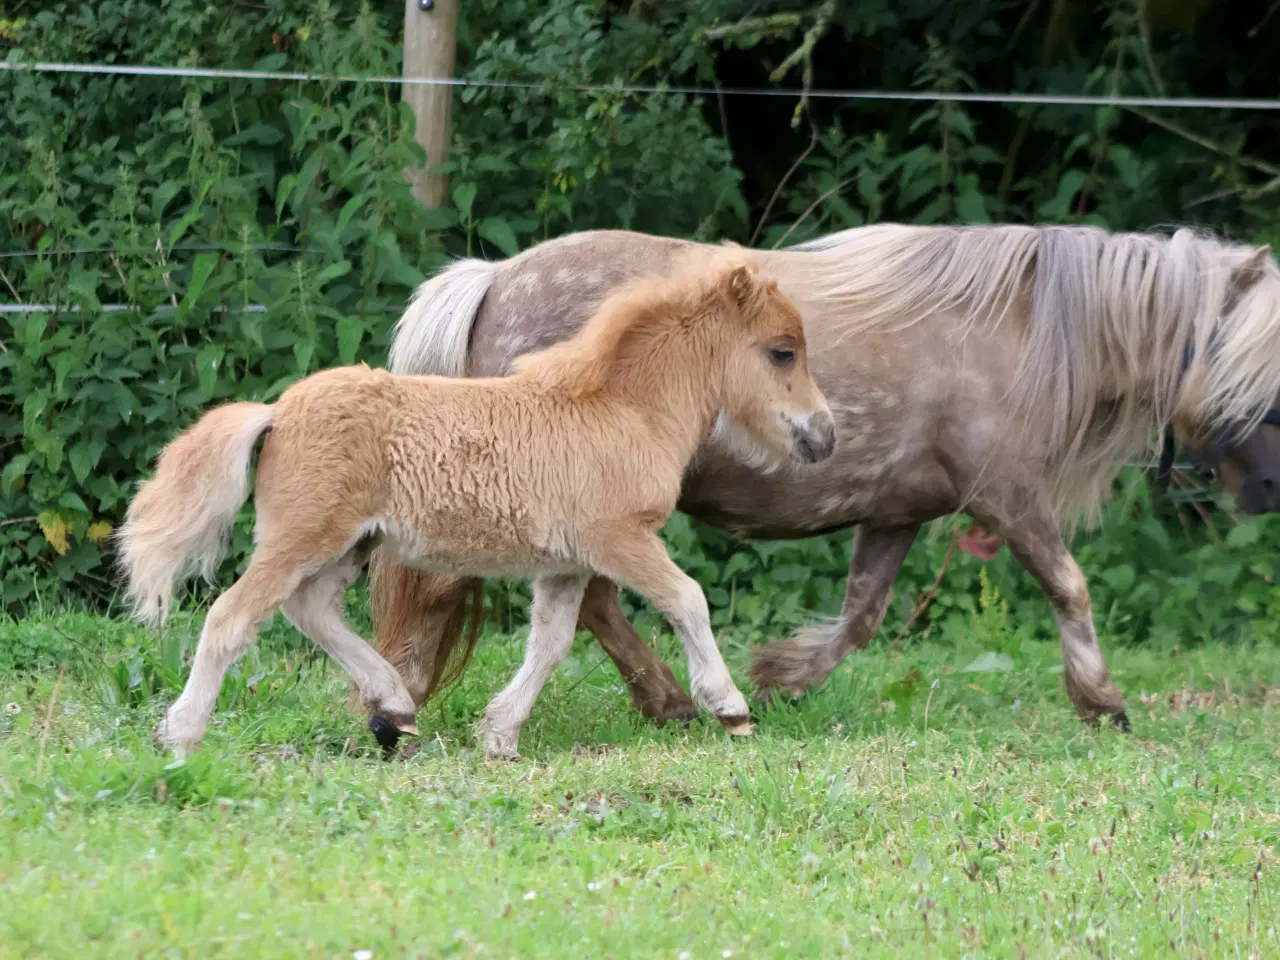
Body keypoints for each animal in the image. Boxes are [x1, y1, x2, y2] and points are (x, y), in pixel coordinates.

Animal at [117, 253, 839, 757]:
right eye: (782, 352)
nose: (824, 435)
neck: (623, 410)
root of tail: (277, 412)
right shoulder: (618, 540)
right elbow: (688, 599)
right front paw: (730, 706)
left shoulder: (566, 564)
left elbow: (549, 643)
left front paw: (499, 735)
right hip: (304, 537)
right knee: (232, 616)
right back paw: (180, 734)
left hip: (348, 545)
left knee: (311, 609)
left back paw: (395, 705)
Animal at [368, 227, 1280, 737]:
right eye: (1255, 363)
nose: (1266, 491)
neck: (1025, 330)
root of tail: (493, 278)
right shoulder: (1009, 495)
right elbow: (1070, 587)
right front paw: (1101, 699)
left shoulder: (899, 510)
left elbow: (862, 614)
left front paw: (780, 675)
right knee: (559, 598)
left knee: (585, 603)